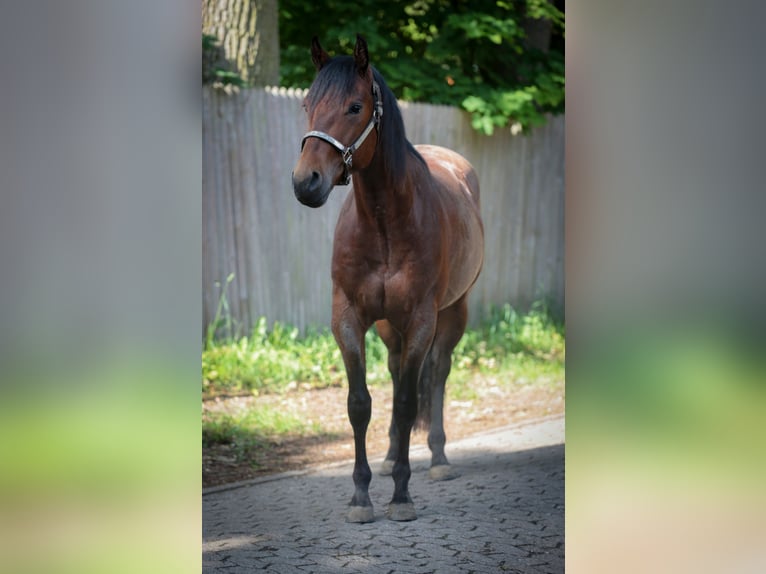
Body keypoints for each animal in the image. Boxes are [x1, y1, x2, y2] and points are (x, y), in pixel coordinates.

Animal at [292, 34, 484, 523]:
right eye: (307, 104)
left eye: (355, 106)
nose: (306, 182)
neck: (384, 223)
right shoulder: (348, 319)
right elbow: (361, 404)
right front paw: (361, 496)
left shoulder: (421, 321)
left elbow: (407, 403)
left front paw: (401, 497)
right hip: (386, 327)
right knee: (399, 373)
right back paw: (388, 459)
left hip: (453, 313)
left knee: (435, 375)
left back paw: (437, 459)